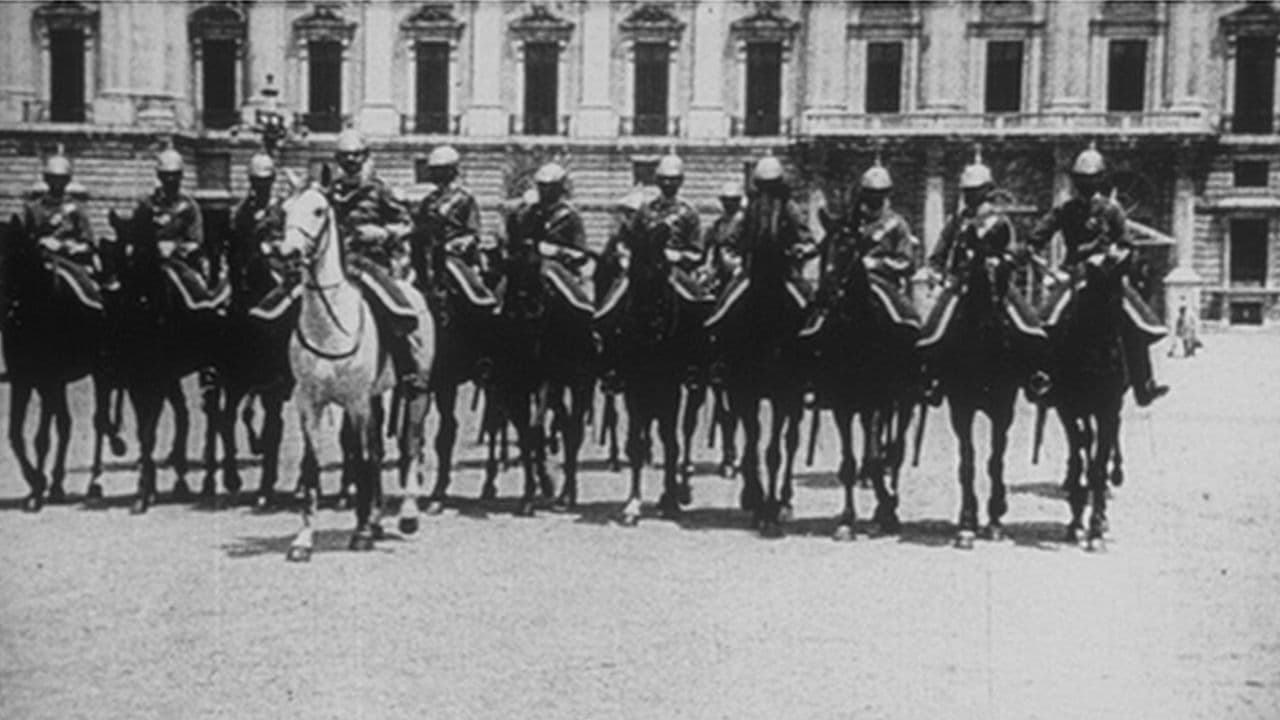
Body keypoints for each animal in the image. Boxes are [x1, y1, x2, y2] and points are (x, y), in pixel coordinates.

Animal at [277, 180, 432, 561]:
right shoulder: (310, 403)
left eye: (319, 210)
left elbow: (361, 460)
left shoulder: (356, 402)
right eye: (285, 209)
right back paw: (376, 520)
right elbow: (314, 466)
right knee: (378, 452)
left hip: (415, 391)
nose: (288, 253)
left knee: (410, 444)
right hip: (377, 399)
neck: (329, 325)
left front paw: (360, 532)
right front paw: (303, 540)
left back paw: (407, 515)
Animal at [808, 210, 921, 535]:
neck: (856, 332)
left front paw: (887, 508)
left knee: (896, 450)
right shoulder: (843, 405)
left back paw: (889, 502)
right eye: (822, 249)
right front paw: (847, 520)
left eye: (848, 250)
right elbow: (849, 463)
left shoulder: (875, 401)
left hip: (903, 400)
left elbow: (875, 455)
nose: (824, 296)